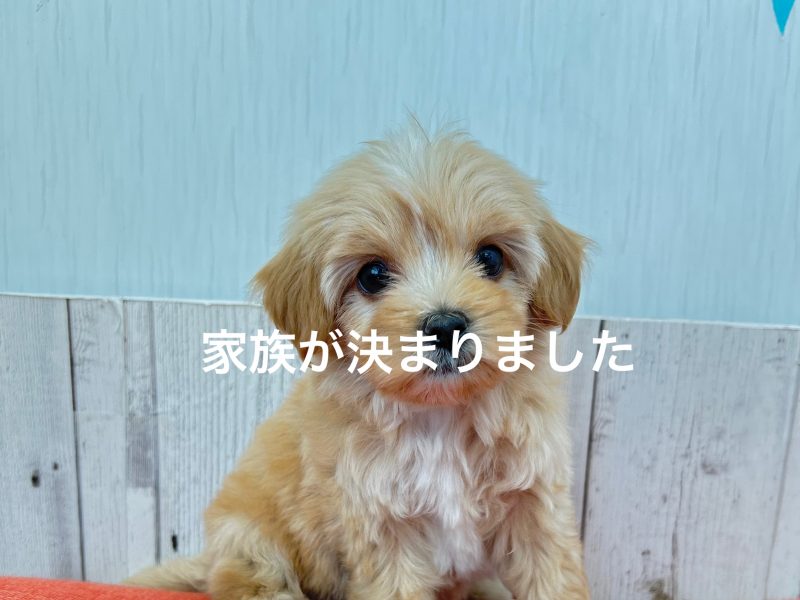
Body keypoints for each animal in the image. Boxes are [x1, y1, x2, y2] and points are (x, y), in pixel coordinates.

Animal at [126, 125, 591, 599]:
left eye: (491, 258)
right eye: (372, 275)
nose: (445, 325)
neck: (440, 415)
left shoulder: (533, 497)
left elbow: (551, 577)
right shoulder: (380, 518)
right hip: (248, 535)